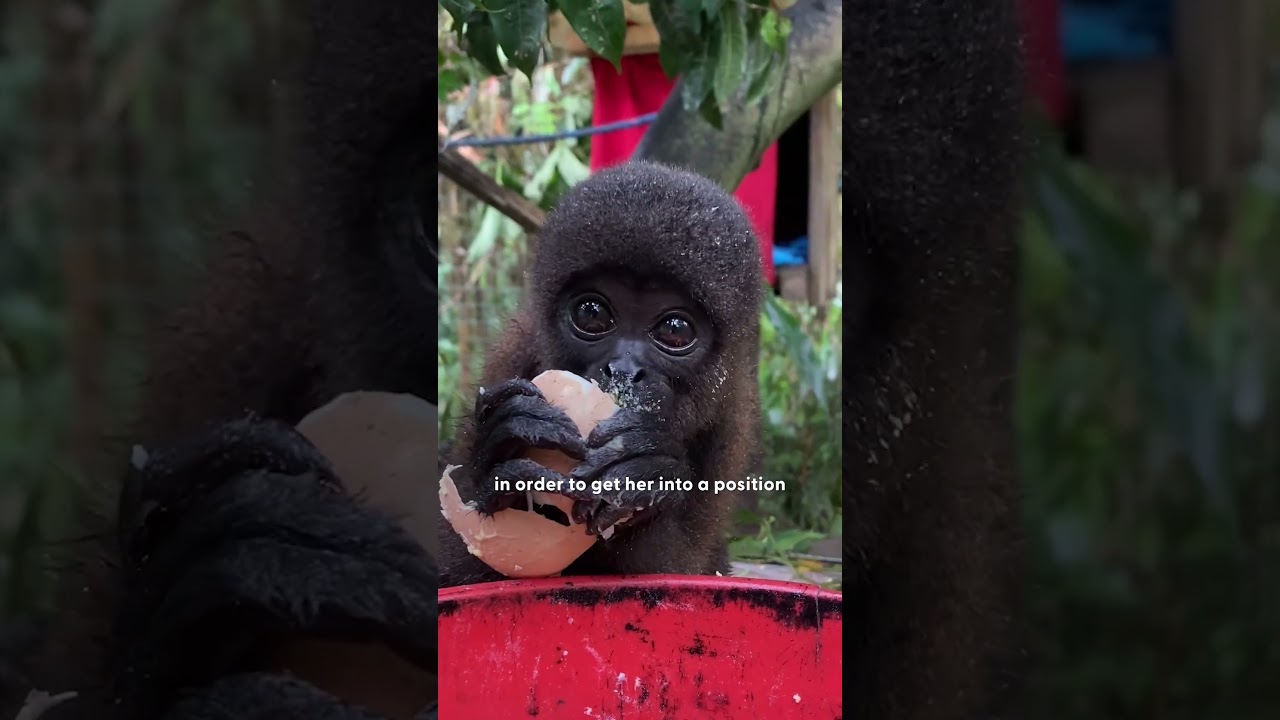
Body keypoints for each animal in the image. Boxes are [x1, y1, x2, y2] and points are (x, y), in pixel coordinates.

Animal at [437, 160, 764, 587]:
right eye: (592, 314)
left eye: (675, 330)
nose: (623, 370)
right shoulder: (513, 355)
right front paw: (504, 442)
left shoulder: (729, 420)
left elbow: (682, 567)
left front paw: (644, 468)